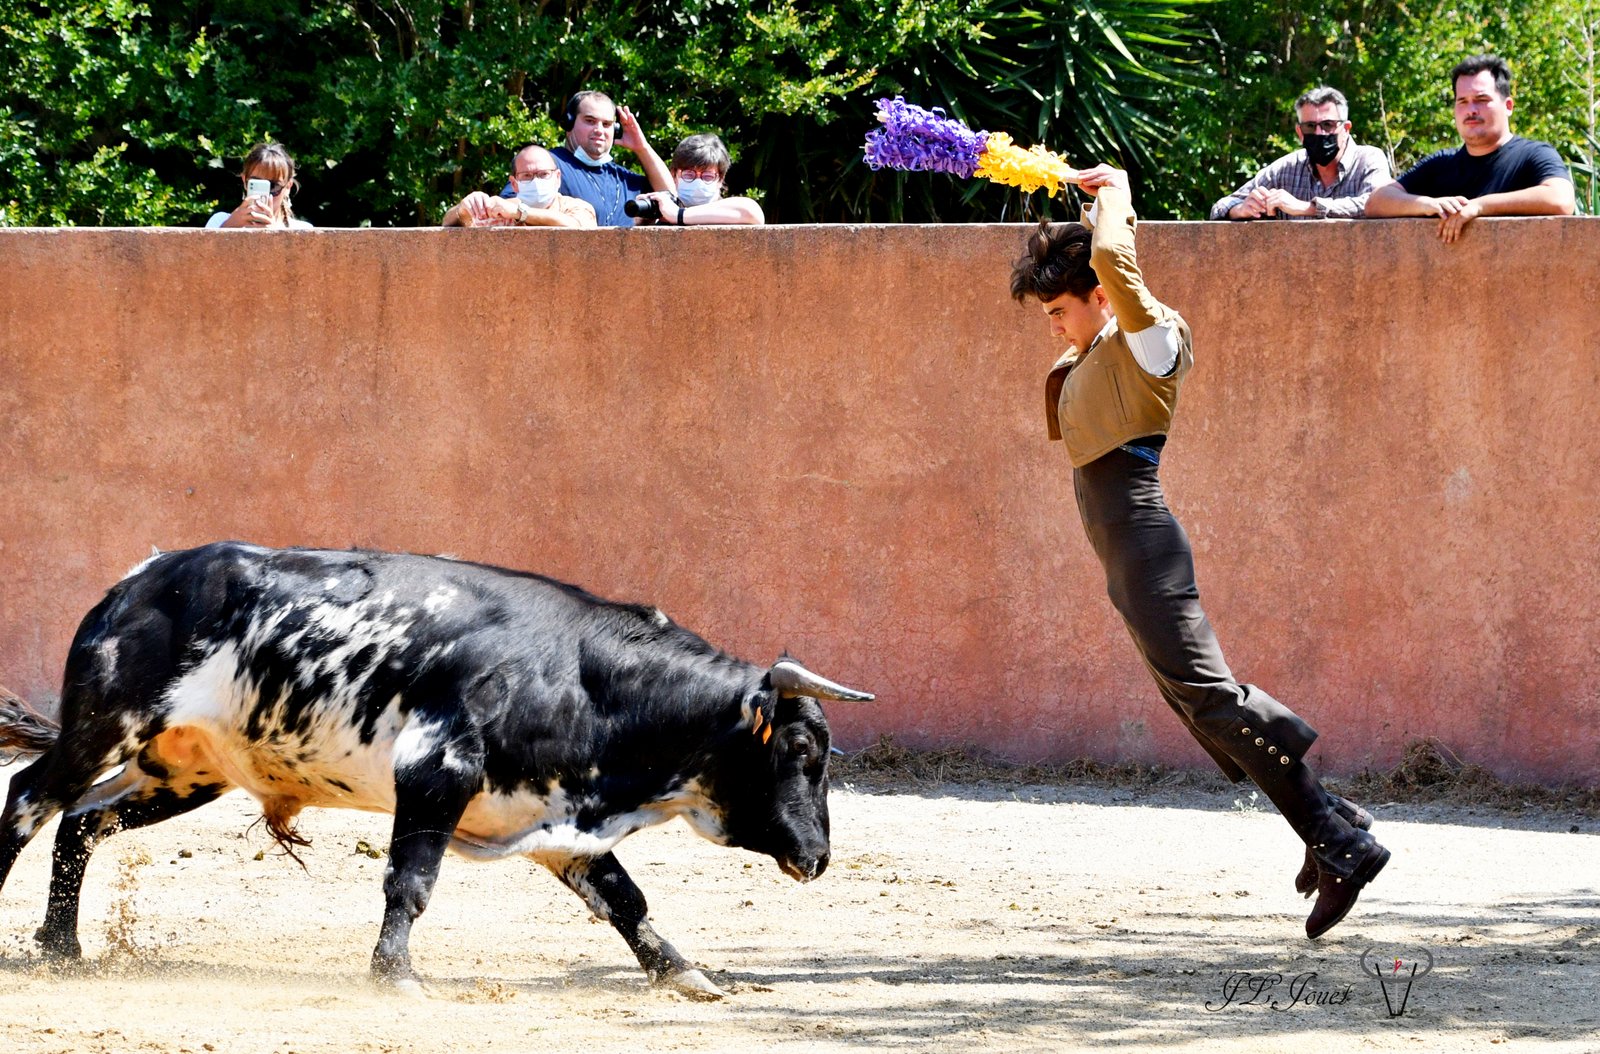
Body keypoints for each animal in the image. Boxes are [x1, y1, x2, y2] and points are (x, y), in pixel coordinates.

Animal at [0, 543, 876, 998]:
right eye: (801, 752)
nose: (819, 858)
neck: (582, 677)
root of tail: (136, 582)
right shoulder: (435, 772)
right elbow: (410, 882)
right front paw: (395, 975)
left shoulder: (559, 817)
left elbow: (625, 899)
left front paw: (683, 972)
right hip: (102, 726)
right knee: (30, 799)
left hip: (184, 771)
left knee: (80, 821)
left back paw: (61, 947)